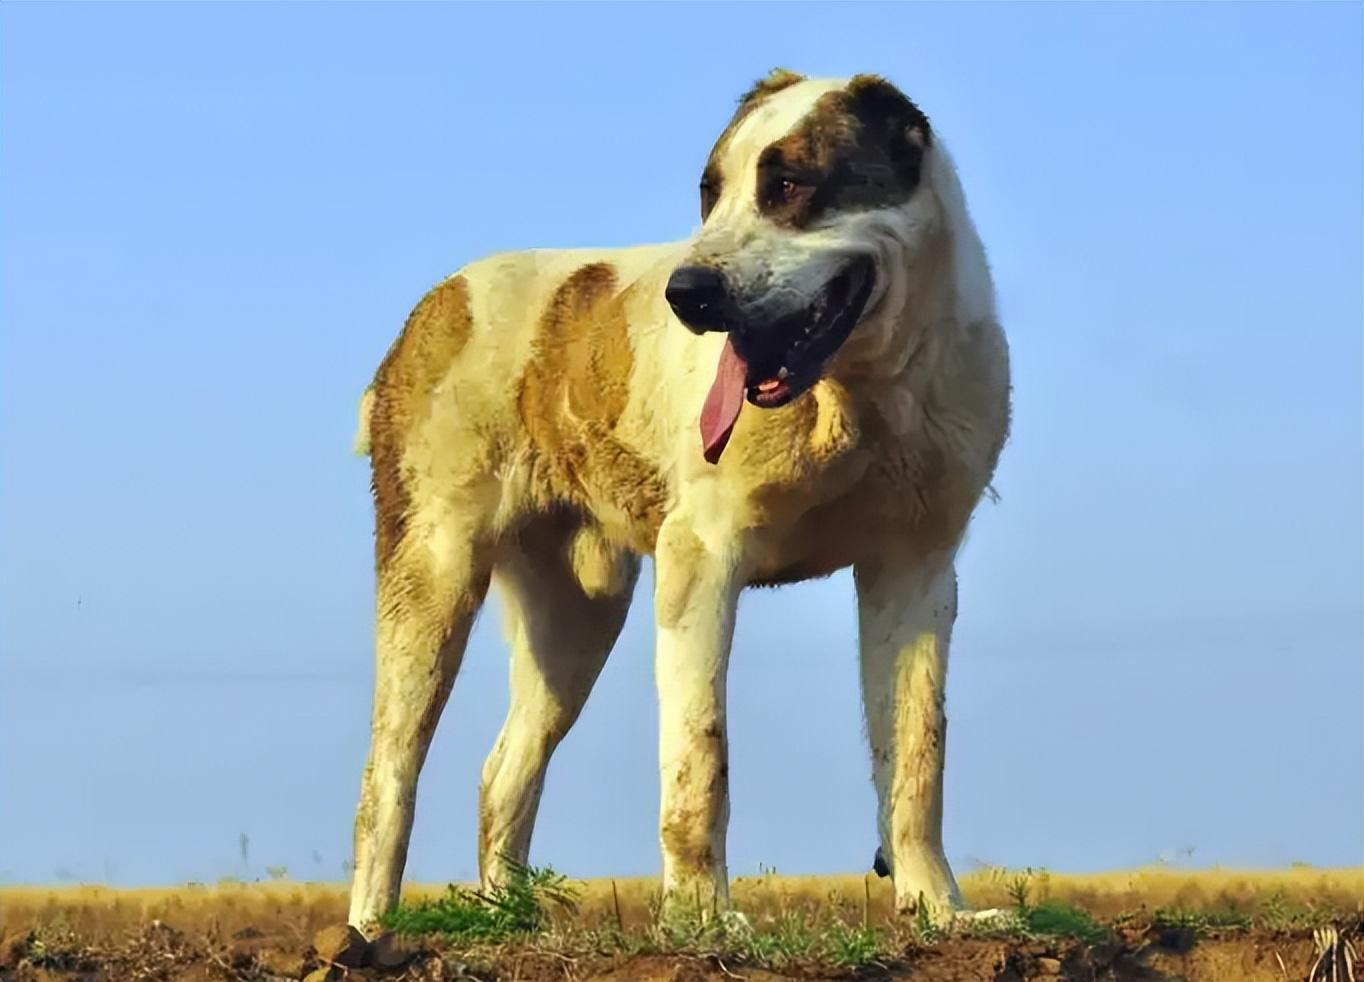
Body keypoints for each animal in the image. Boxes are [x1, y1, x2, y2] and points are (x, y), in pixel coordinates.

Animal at [349, 67, 1014, 927]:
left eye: (788, 185)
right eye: (709, 191)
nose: (687, 293)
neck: (860, 395)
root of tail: (432, 307)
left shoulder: (917, 569)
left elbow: (916, 756)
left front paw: (938, 909)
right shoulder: (702, 559)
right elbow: (700, 755)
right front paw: (701, 918)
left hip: (577, 616)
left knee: (505, 768)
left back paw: (509, 919)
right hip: (433, 578)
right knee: (387, 778)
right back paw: (369, 930)